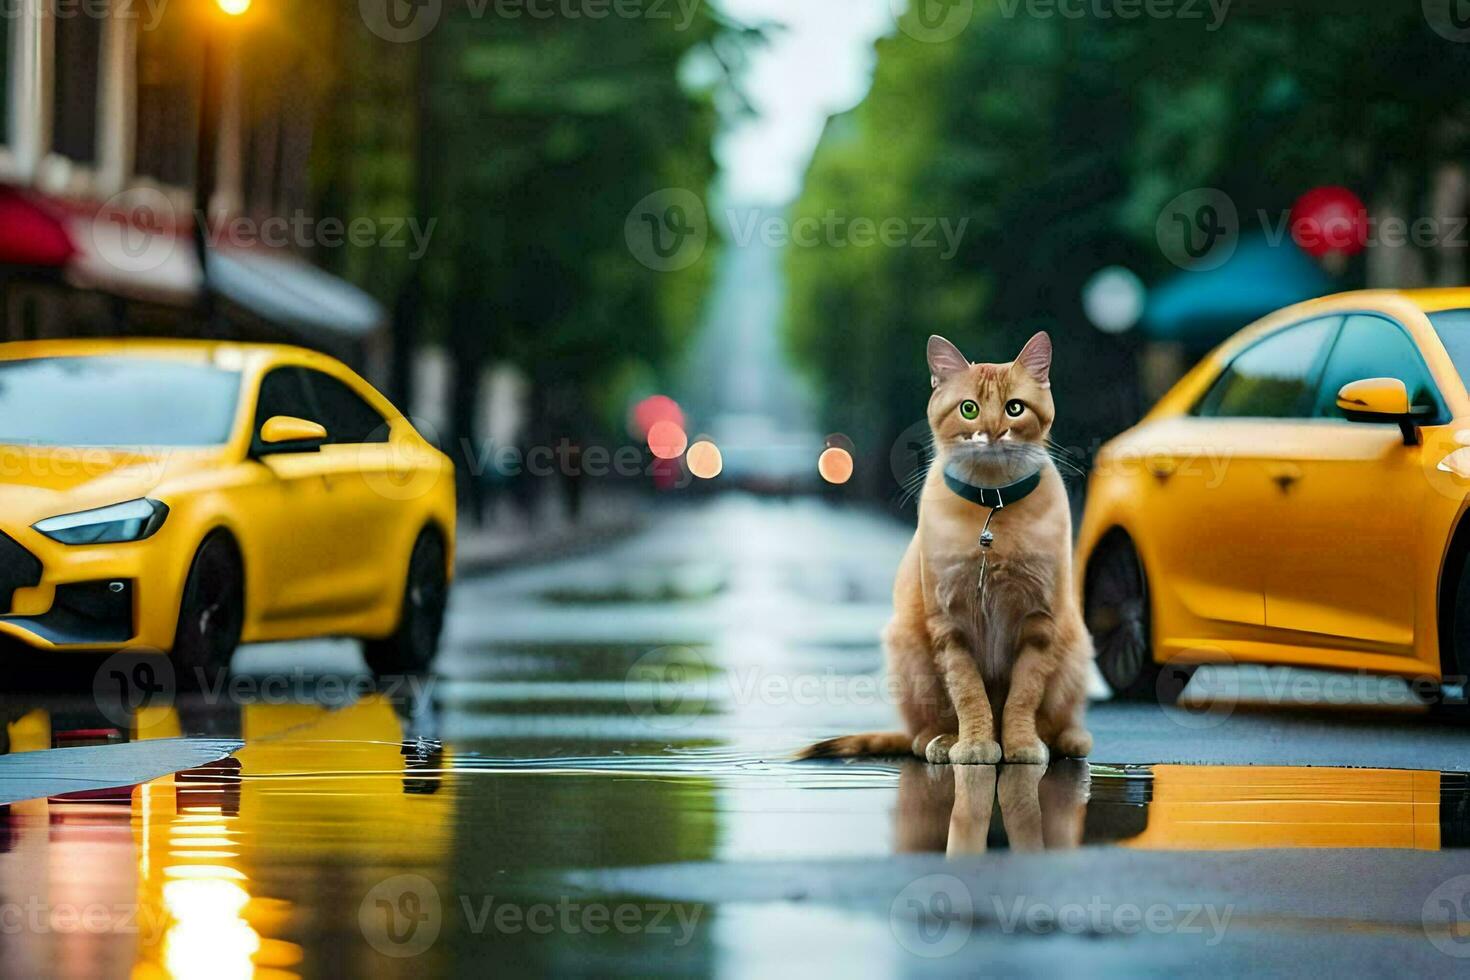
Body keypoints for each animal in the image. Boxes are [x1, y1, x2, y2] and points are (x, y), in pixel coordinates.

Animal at [805, 334, 1093, 764]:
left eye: (1014, 408)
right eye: (969, 409)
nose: (993, 431)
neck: (992, 510)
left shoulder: (1040, 623)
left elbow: (1023, 695)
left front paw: (1021, 743)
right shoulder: (949, 625)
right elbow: (968, 692)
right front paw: (974, 744)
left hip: (1075, 645)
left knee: (1058, 719)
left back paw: (1063, 739)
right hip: (908, 647)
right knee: (921, 730)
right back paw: (940, 740)